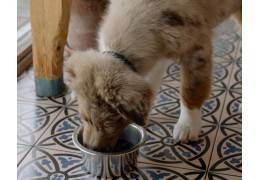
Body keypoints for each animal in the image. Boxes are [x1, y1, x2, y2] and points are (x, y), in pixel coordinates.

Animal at [65, 0, 242, 151]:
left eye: (108, 124)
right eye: (84, 118)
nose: (91, 148)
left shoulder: (196, 48)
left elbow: (191, 89)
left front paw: (187, 126)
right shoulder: (159, 51)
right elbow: (150, 82)